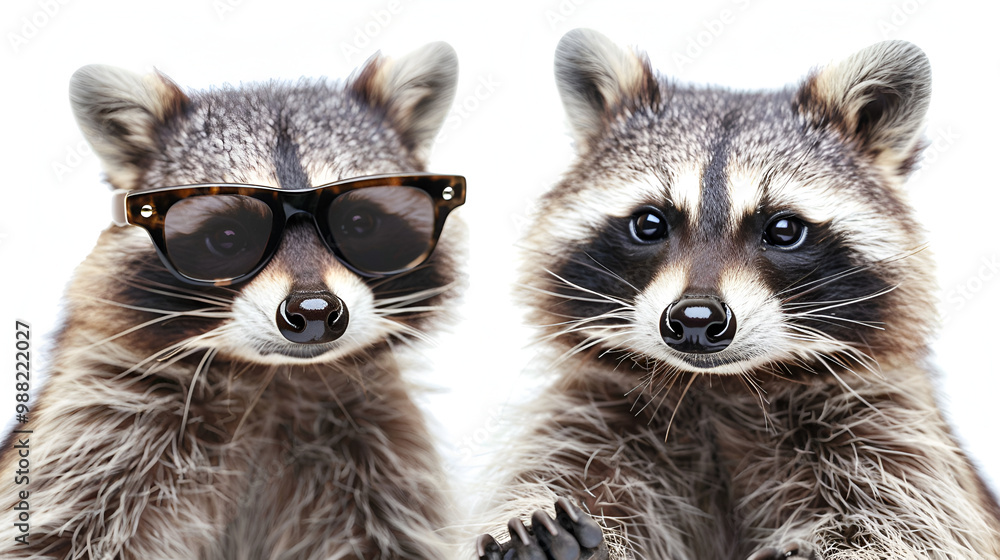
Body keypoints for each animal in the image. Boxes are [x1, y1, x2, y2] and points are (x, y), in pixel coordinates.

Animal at [0, 43, 465, 559]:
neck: (275, 378)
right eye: (228, 237)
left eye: (358, 224)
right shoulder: (96, 425)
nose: (315, 312)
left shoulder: (380, 451)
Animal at [473, 29, 1000, 560]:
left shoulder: (889, 429)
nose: (696, 319)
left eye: (784, 229)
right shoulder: (588, 414)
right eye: (649, 223)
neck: (721, 385)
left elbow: (912, 528)